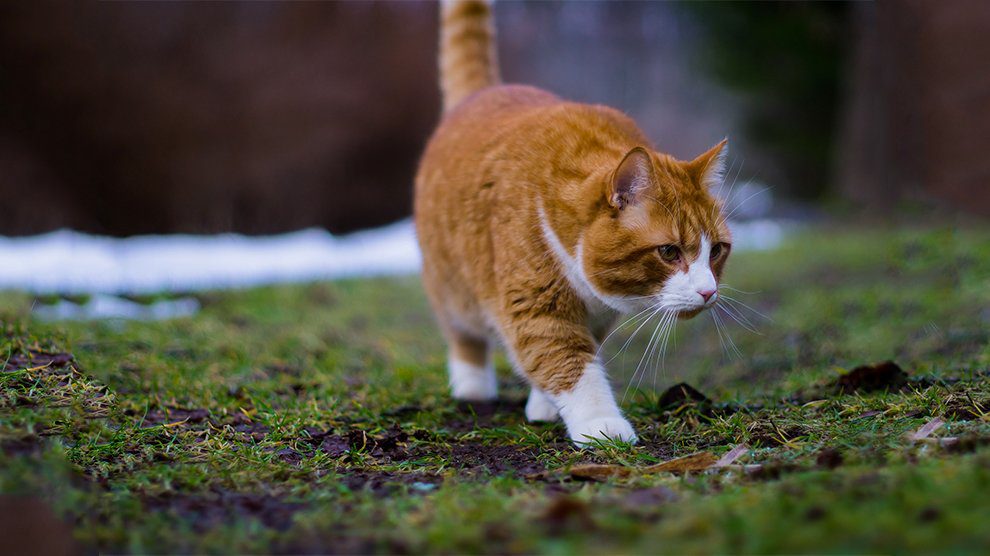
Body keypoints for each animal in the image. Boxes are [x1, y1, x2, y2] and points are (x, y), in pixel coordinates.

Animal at [414, 0, 732, 446]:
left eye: (717, 250)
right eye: (669, 252)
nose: (708, 292)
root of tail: (483, 92)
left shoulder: (595, 317)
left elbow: (570, 357)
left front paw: (546, 406)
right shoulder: (536, 306)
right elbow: (568, 362)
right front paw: (601, 424)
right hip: (451, 284)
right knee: (462, 332)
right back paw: (472, 386)